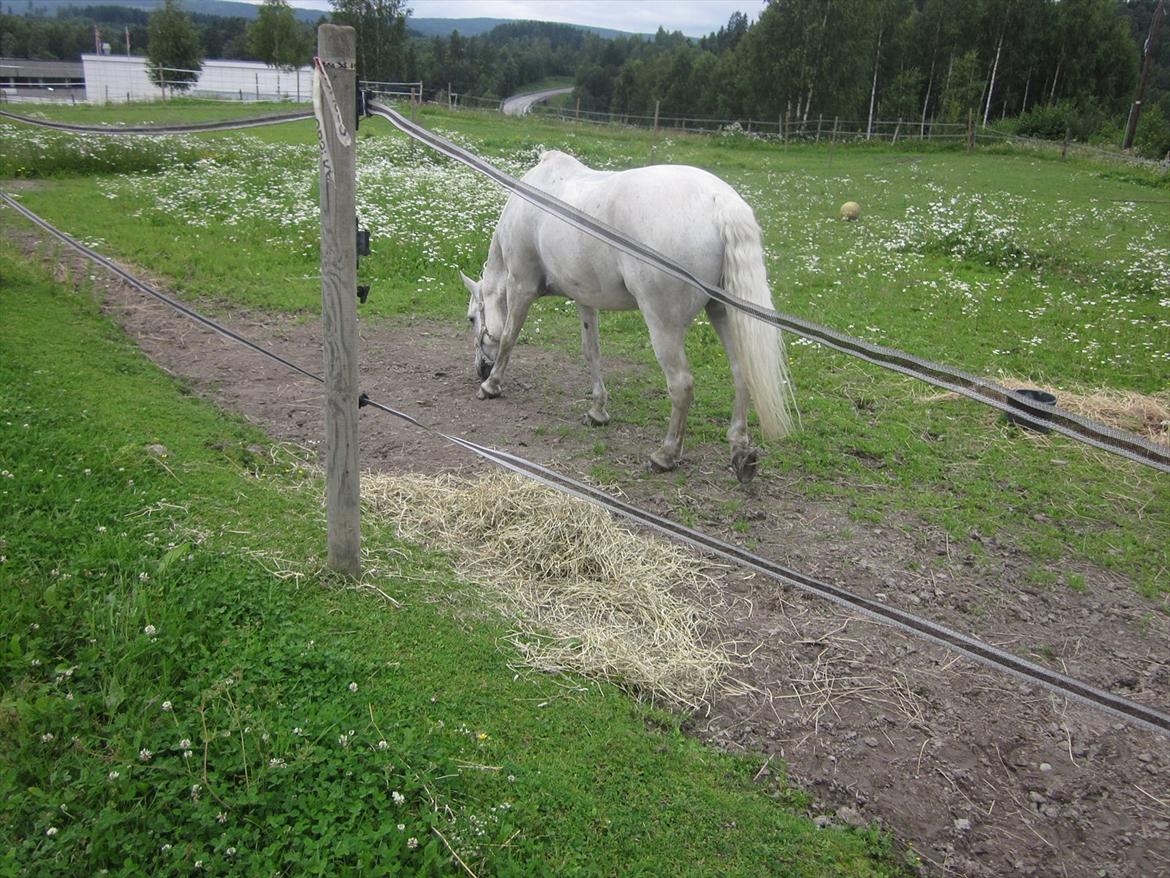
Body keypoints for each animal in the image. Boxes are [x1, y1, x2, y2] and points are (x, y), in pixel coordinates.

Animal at [460, 149, 800, 482]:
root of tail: (720, 202)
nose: (480, 370)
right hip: (724, 314)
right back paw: (740, 450)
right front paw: (597, 411)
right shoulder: (585, 298)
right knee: (742, 372)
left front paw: (491, 386)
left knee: (682, 385)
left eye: (472, 319)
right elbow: (591, 351)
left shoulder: (521, 286)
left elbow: (508, 337)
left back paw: (665, 455)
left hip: (663, 325)